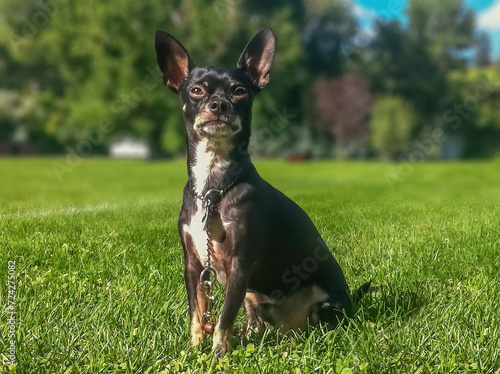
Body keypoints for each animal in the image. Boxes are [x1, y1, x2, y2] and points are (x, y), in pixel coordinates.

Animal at [154, 27, 370, 356]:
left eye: (239, 92)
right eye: (197, 91)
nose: (219, 104)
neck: (213, 187)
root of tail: (289, 327)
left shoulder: (239, 267)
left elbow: (222, 318)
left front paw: (217, 355)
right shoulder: (193, 267)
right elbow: (198, 314)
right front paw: (193, 351)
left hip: (321, 306)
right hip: (252, 296)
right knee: (257, 325)